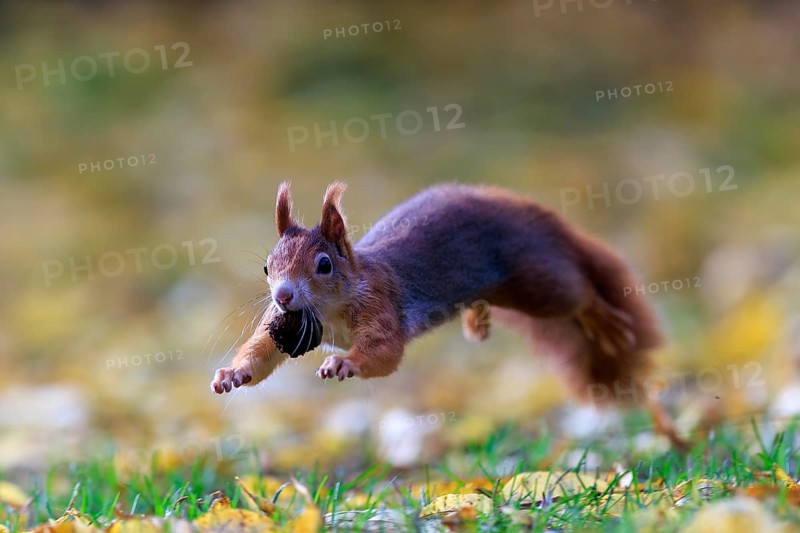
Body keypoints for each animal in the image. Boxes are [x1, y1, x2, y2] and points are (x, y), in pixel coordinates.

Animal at [211, 181, 664, 409]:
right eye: (267, 268)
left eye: (324, 265)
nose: (283, 296)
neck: (331, 309)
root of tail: (529, 215)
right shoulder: (286, 325)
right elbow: (262, 352)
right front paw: (232, 374)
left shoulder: (380, 305)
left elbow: (384, 352)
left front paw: (344, 363)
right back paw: (476, 319)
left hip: (538, 282)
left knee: (579, 293)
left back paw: (604, 320)